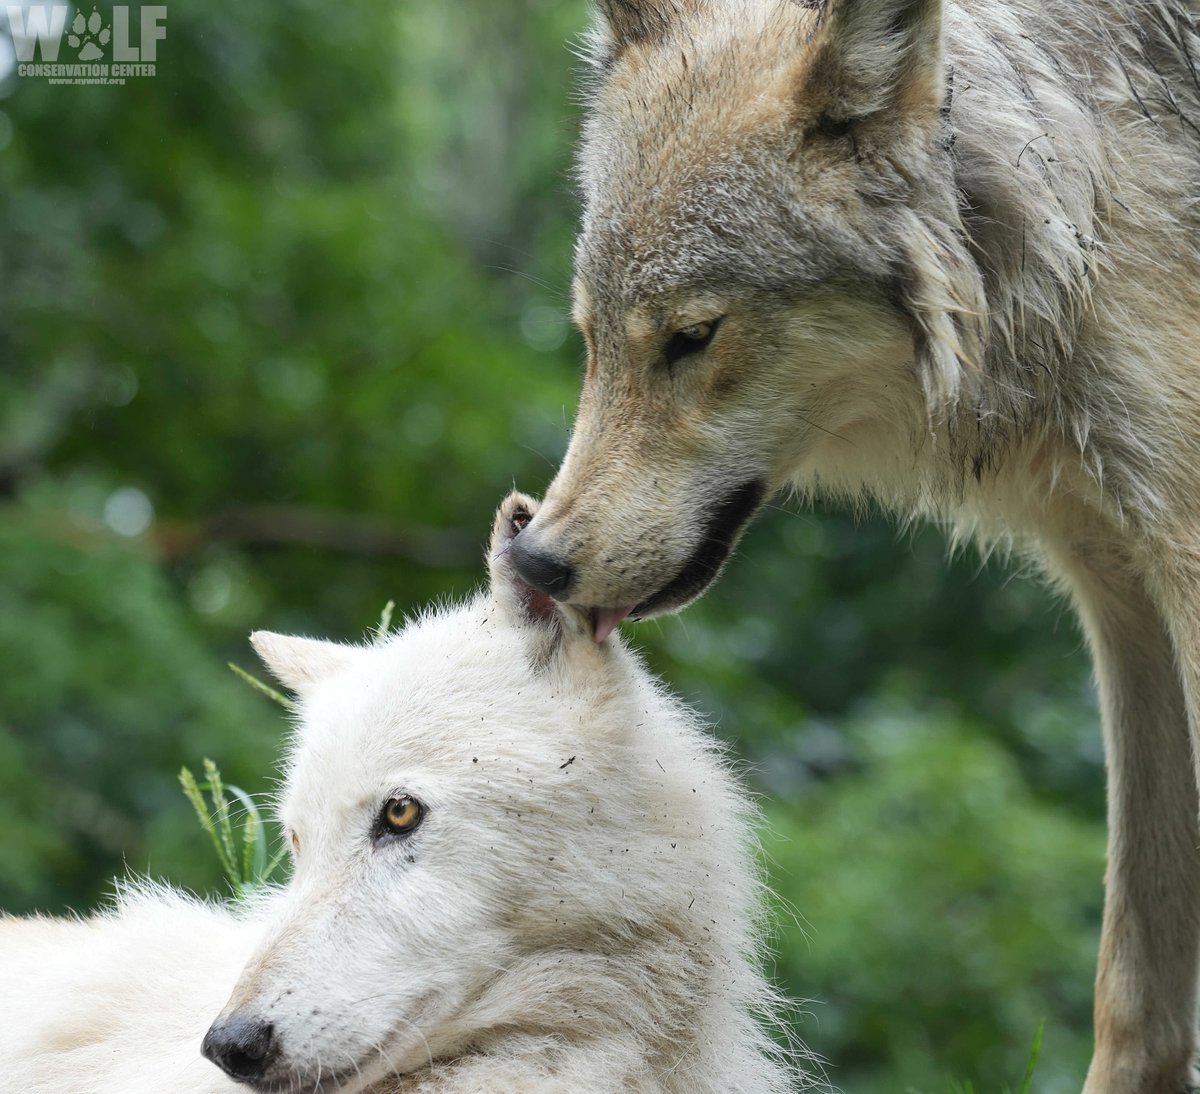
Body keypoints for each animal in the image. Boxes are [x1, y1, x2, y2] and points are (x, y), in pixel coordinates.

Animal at [504, 0, 1200, 1089]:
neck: (1078, 205)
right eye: (589, 338)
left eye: (693, 336)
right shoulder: (1122, 592)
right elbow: (1134, 984)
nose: (537, 561)